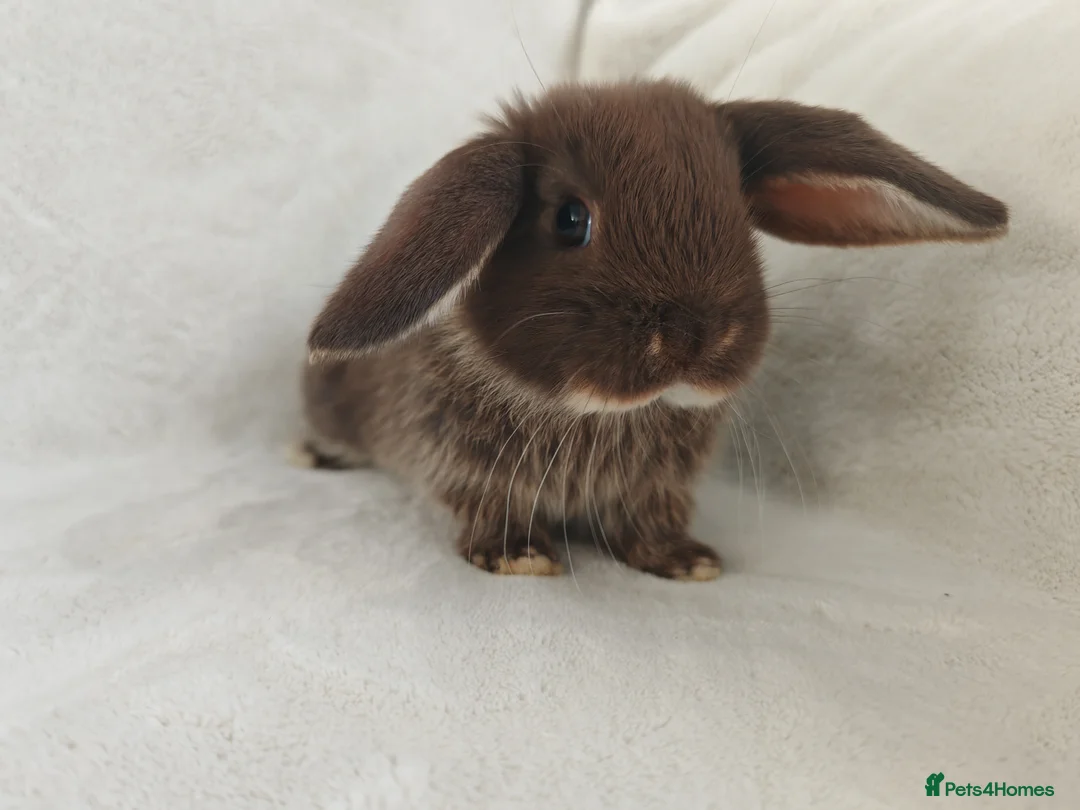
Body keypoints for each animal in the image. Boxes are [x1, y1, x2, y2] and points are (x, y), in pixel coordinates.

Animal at [296, 79, 1008, 580]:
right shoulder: (467, 468)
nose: (695, 338)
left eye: (740, 215)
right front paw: (521, 557)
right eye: (570, 219)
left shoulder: (654, 490)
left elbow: (650, 526)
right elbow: (490, 512)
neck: (598, 414)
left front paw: (690, 562)